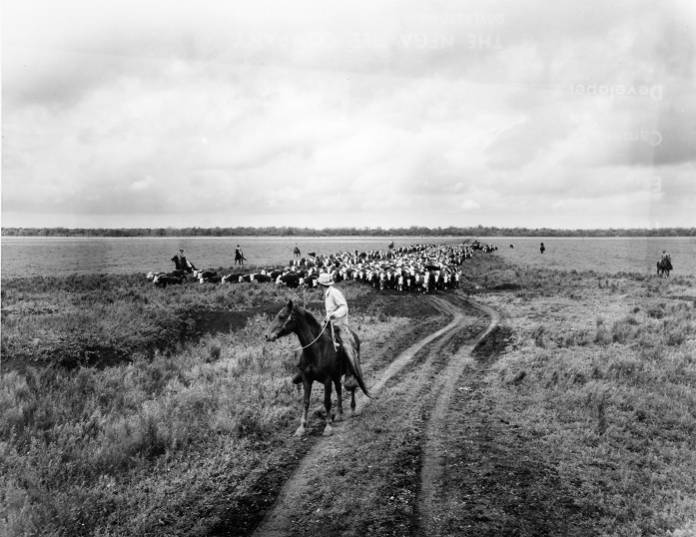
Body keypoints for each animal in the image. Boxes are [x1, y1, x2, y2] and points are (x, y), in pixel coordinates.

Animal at [264, 302, 368, 436]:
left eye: (281, 316)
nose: (267, 335)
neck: (317, 350)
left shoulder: (327, 379)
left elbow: (327, 401)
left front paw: (328, 426)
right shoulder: (306, 379)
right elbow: (306, 402)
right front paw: (301, 427)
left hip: (350, 371)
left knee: (352, 387)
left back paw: (353, 409)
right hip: (336, 375)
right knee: (339, 390)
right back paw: (339, 414)